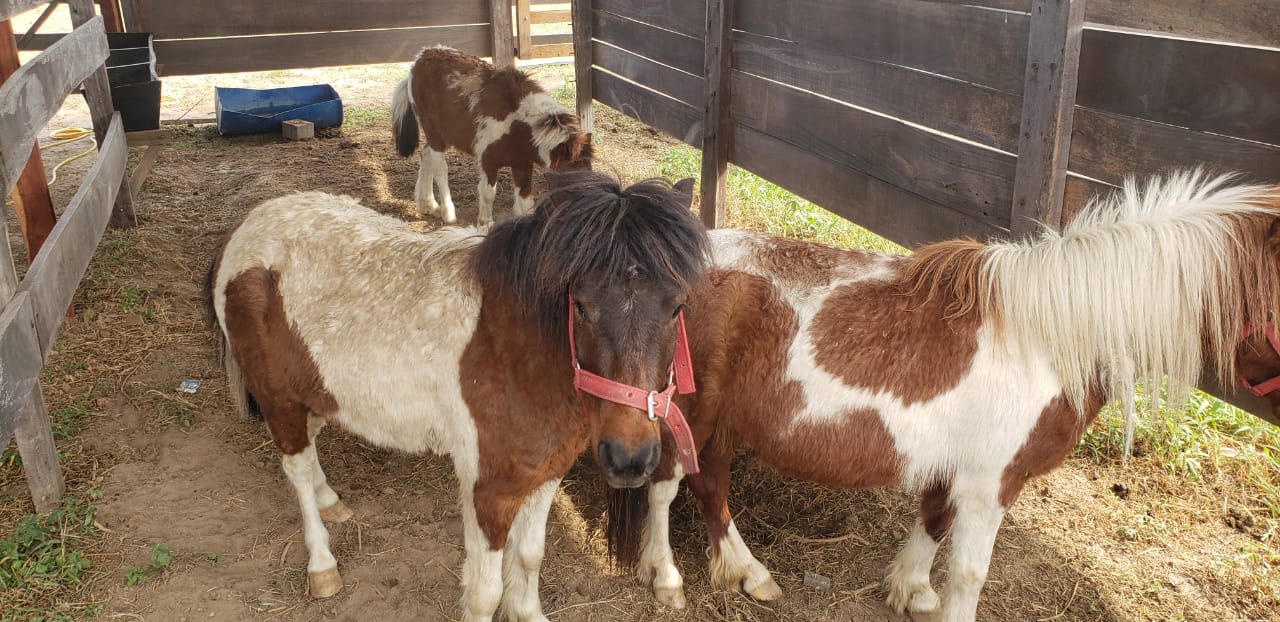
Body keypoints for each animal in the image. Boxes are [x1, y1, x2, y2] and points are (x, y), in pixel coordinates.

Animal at [206, 171, 707, 622]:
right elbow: (484, 593)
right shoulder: (489, 491)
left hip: (313, 391)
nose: (630, 459)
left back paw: (331, 501)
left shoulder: (546, 474)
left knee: (309, 452)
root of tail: (246, 228)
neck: (514, 349)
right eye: (580, 305)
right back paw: (322, 565)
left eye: (678, 305)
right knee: (295, 466)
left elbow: (530, 557)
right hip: (278, 400)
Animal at [391, 45, 593, 226]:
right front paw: (485, 224)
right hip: (434, 133)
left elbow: (525, 202)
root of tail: (418, 61)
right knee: (440, 167)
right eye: (571, 182)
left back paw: (428, 205)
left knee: (426, 155)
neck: (518, 123)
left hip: (443, 135)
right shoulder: (488, 161)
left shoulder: (522, 164)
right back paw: (448, 214)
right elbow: (488, 194)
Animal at [612, 171, 1280, 622]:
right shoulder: (993, 482)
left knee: (711, 485)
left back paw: (750, 574)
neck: (1049, 333)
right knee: (667, 487)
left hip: (722, 422)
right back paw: (667, 577)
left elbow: (933, 522)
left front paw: (912, 589)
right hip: (683, 414)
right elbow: (969, 571)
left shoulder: (958, 469)